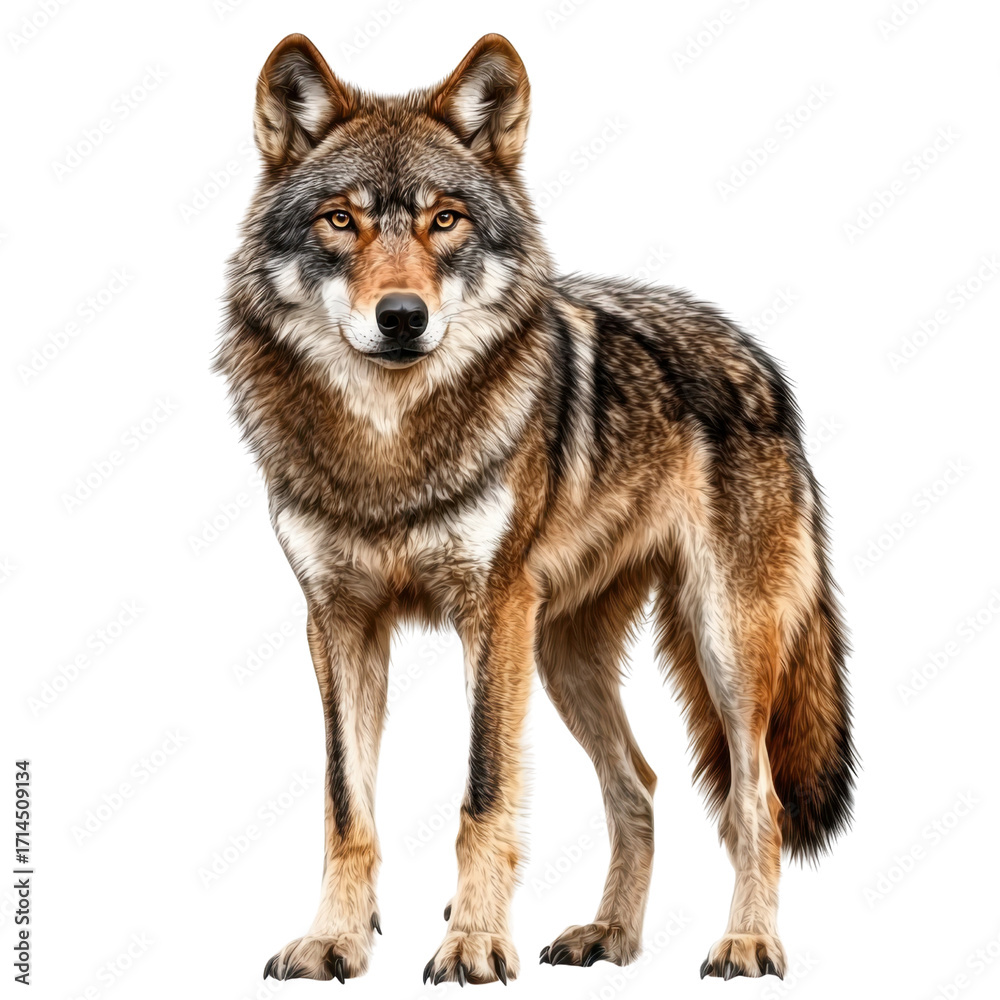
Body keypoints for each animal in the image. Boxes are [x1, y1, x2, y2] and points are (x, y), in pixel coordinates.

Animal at [217, 32, 856, 986]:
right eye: (341, 221)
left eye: (445, 221)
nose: (401, 317)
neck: (389, 449)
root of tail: (760, 361)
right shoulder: (337, 620)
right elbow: (345, 806)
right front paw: (334, 940)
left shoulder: (493, 611)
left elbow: (484, 793)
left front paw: (474, 943)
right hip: (562, 657)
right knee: (639, 786)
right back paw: (609, 936)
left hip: (723, 646)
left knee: (758, 800)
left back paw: (748, 942)